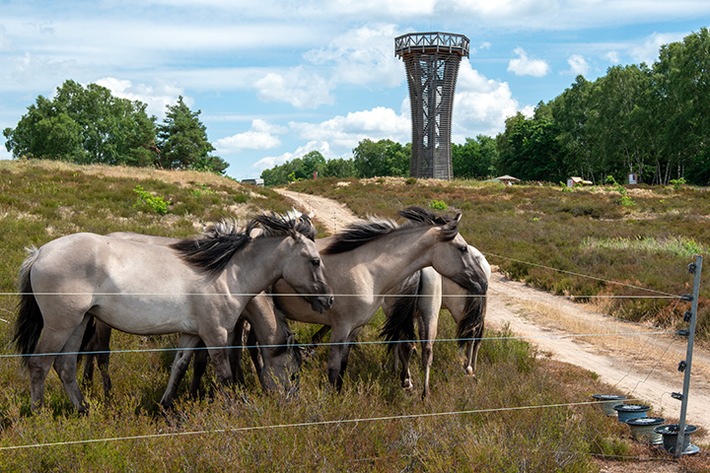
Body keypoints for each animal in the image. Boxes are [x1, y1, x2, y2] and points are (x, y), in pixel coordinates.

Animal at [14, 212, 333, 412]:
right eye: (315, 261)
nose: (328, 300)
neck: (227, 274)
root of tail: (38, 253)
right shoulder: (216, 334)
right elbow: (224, 374)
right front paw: (235, 407)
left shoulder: (190, 334)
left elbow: (179, 367)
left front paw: (166, 406)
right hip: (60, 325)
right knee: (40, 365)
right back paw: (38, 416)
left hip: (78, 323)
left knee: (65, 366)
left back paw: (83, 410)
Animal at [381, 246, 490, 398]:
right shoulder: (417, 315)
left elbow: (399, 340)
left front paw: (397, 369)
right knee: (473, 334)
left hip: (457, 309)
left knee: (471, 333)